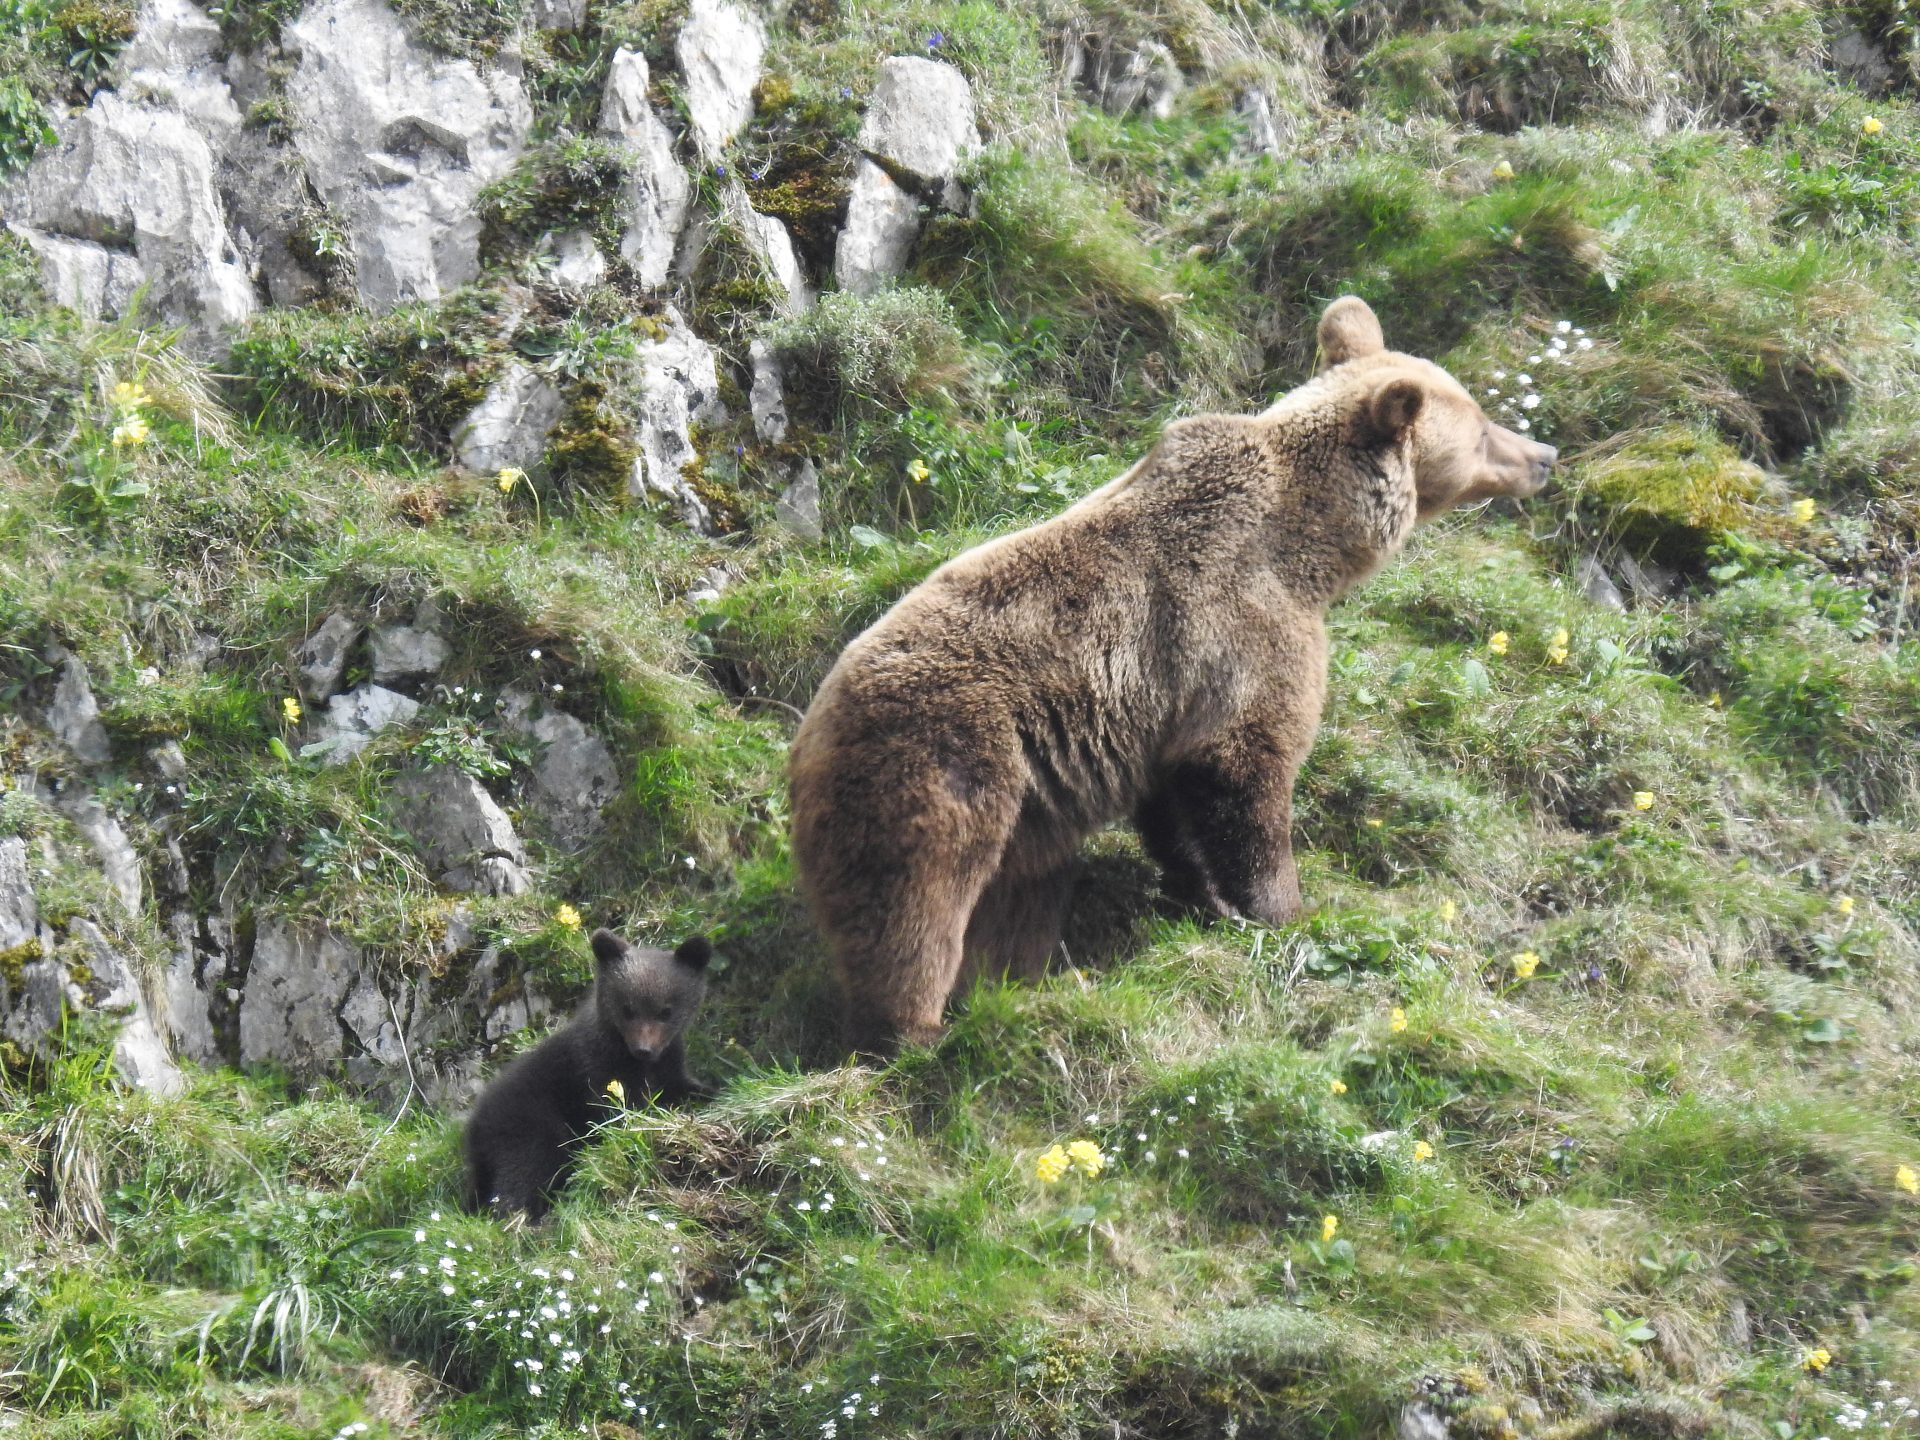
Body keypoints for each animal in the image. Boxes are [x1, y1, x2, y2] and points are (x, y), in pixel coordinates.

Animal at [464, 929, 712, 1221]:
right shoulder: (596, 1069)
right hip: (529, 1124)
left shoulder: (668, 1064)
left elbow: (681, 1086)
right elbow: (614, 1108)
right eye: (627, 1008)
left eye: (666, 1011)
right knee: (524, 1169)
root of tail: (474, 1125)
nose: (643, 1049)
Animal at [788, 295, 1557, 1054]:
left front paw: (1204, 897)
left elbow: (1173, 803)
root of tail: (806, 729)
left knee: (1016, 898)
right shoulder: (1243, 632)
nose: (1545, 455)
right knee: (912, 913)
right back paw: (911, 1031)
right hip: (940, 771)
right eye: (1483, 426)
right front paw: (1284, 910)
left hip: (1022, 814)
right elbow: (1246, 774)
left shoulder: (1157, 705)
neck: (1311, 550)